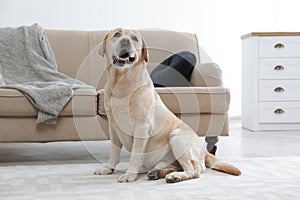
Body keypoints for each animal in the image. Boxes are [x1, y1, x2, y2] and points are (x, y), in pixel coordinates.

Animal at [94, 28, 241, 183]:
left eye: (134, 38)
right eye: (117, 34)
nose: (126, 41)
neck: (121, 84)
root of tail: (204, 151)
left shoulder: (142, 127)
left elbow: (135, 155)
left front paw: (130, 174)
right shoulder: (113, 127)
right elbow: (114, 151)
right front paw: (108, 168)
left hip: (176, 137)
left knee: (194, 171)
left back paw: (175, 176)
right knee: (177, 167)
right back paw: (159, 173)